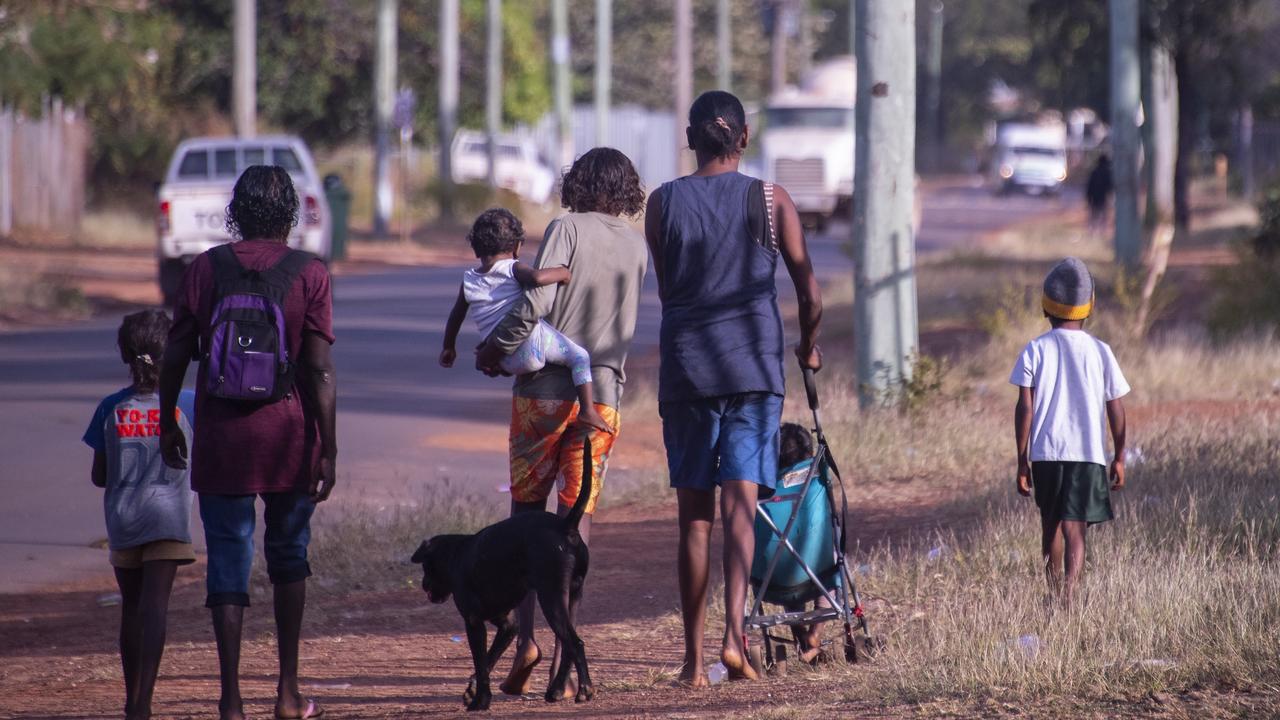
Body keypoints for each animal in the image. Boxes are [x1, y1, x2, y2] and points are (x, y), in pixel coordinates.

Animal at [409, 430, 593, 707]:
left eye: (426, 567)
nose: (423, 586)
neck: (456, 553)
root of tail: (566, 526)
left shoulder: (474, 622)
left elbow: (481, 661)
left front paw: (480, 701)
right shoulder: (508, 626)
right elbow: (487, 660)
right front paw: (473, 689)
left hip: (551, 598)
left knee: (576, 642)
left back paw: (584, 689)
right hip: (574, 595)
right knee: (568, 646)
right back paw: (557, 690)